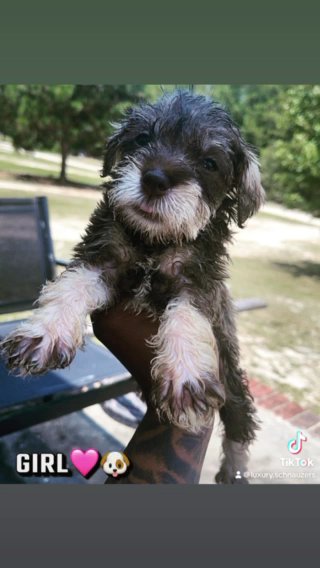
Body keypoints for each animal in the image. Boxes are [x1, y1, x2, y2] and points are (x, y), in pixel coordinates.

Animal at [1, 91, 264, 482]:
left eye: (210, 162)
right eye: (142, 139)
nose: (155, 179)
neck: (154, 241)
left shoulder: (199, 279)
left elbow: (188, 315)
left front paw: (185, 376)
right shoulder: (102, 255)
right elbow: (72, 285)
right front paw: (46, 332)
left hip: (231, 376)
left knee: (239, 420)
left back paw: (235, 469)